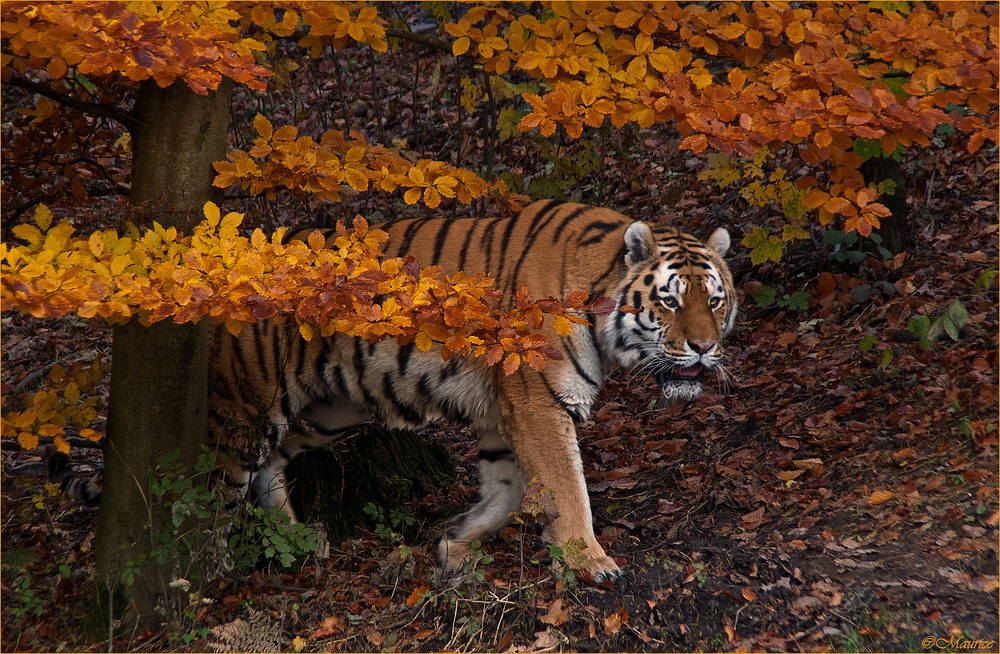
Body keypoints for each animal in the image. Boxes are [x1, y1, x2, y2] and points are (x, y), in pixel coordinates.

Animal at [209, 201, 736, 584]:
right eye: (670, 301)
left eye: (714, 300)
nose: (705, 347)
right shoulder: (537, 404)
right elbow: (568, 487)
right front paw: (590, 563)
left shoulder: (506, 413)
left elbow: (509, 490)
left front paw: (456, 543)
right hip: (248, 410)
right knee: (217, 490)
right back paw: (212, 577)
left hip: (330, 410)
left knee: (272, 464)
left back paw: (296, 539)